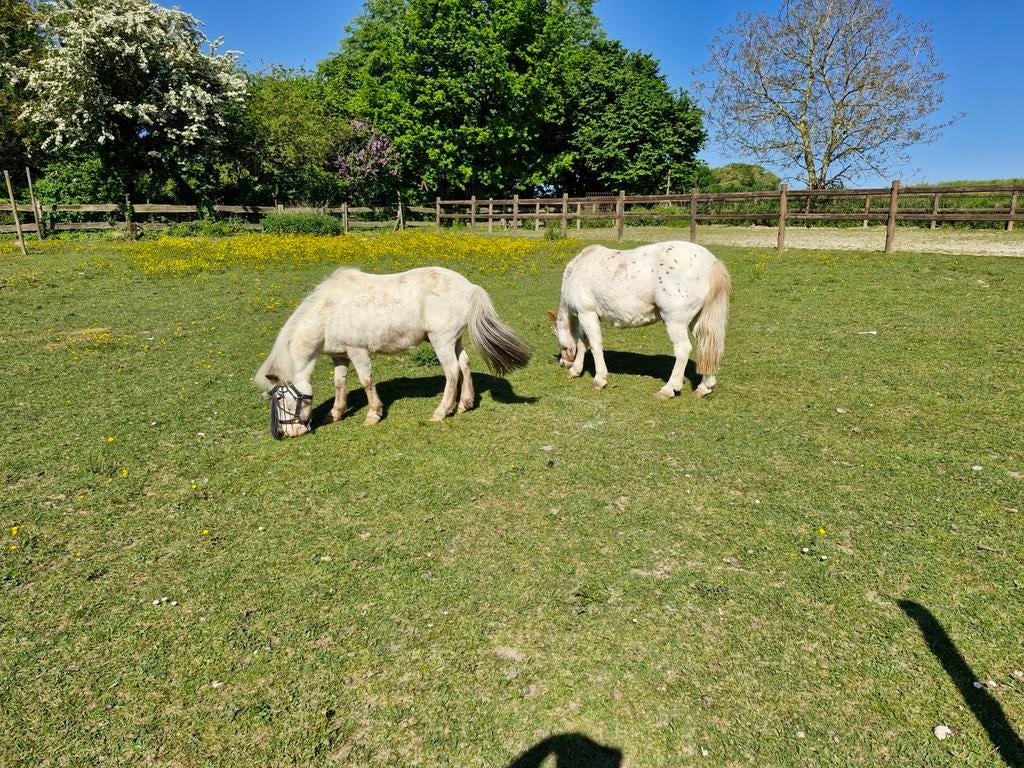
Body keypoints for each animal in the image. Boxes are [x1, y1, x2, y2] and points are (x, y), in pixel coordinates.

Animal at [254, 266, 531, 438]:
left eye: (278, 398)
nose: (288, 433)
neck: (329, 312)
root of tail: (470, 287)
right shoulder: (339, 355)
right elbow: (339, 383)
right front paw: (335, 413)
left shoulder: (357, 351)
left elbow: (366, 381)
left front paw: (373, 415)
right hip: (455, 339)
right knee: (464, 364)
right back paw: (464, 404)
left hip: (441, 340)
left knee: (452, 371)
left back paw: (441, 411)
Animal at [548, 241, 731, 398]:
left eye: (555, 334)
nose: (564, 363)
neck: (577, 270)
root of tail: (710, 262)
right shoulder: (588, 316)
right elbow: (582, 342)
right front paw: (576, 370)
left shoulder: (586, 314)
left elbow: (592, 344)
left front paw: (599, 379)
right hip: (696, 320)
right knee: (707, 344)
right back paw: (704, 386)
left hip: (675, 322)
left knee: (683, 350)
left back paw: (669, 388)